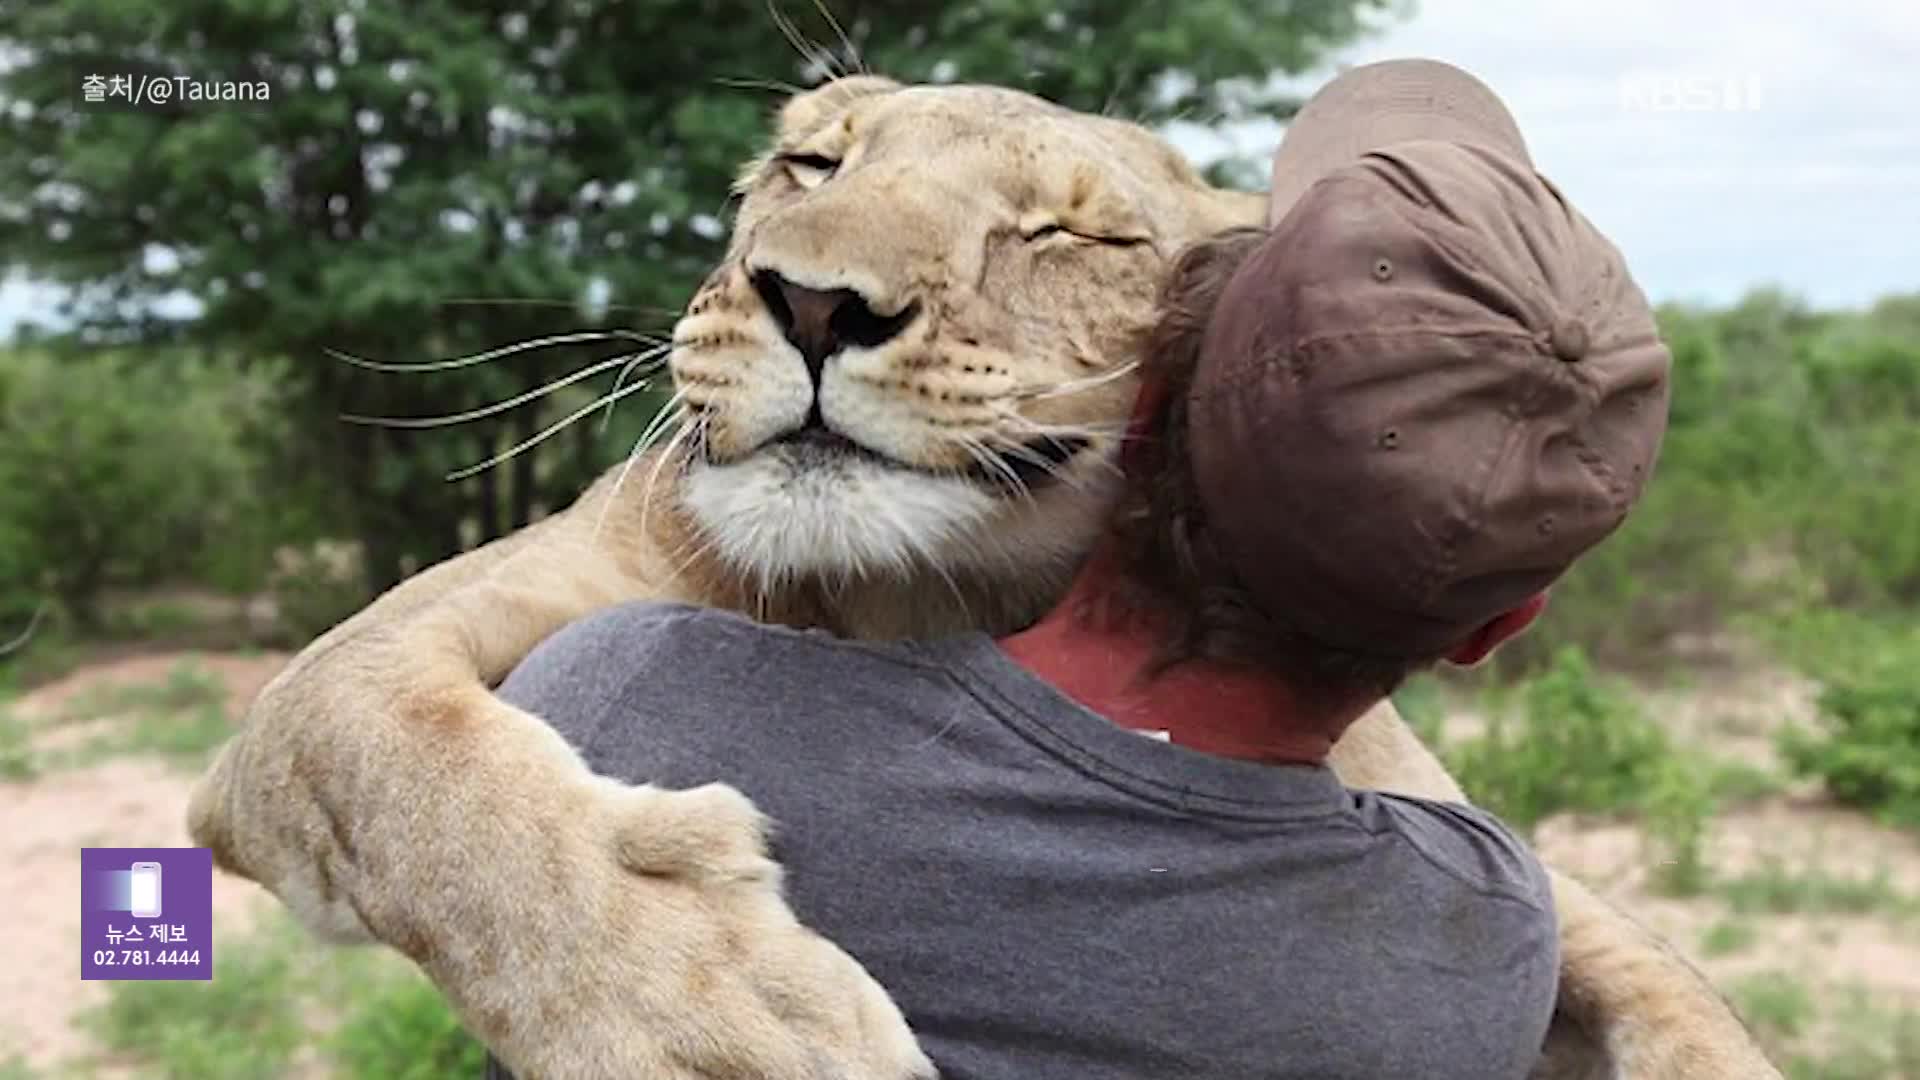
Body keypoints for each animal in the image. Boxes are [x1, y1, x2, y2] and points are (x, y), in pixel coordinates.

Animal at [187, 75, 1774, 1076]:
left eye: (1070, 233)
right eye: (813, 166)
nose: (813, 300)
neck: (918, 597)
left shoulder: (1476, 838)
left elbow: (1678, 991)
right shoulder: (392, 665)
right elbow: (414, 771)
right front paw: (711, 1017)